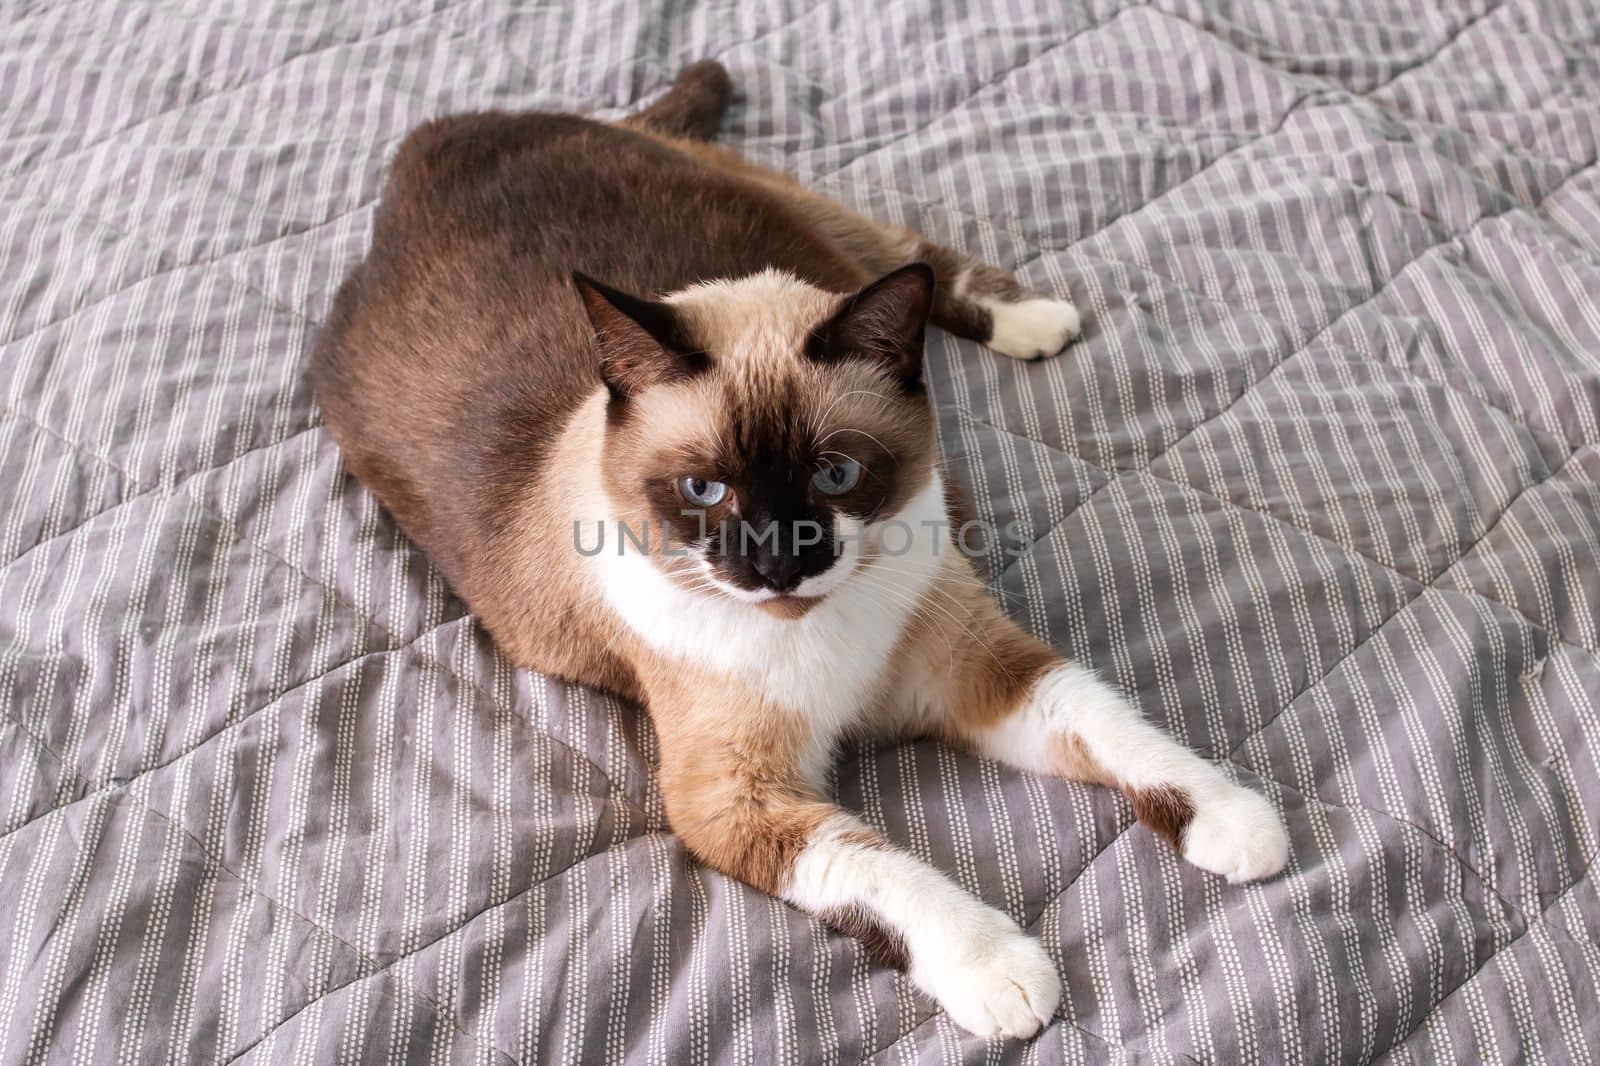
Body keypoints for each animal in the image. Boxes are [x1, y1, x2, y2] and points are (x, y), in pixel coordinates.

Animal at [312, 60, 1286, 1037]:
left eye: (836, 475)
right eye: (705, 491)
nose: (780, 561)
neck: (811, 628)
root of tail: (433, 140)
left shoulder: (983, 672)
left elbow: (1120, 728)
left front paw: (1238, 823)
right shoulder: (741, 803)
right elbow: (883, 870)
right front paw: (1005, 975)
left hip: (821, 229)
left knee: (914, 252)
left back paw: (1039, 322)